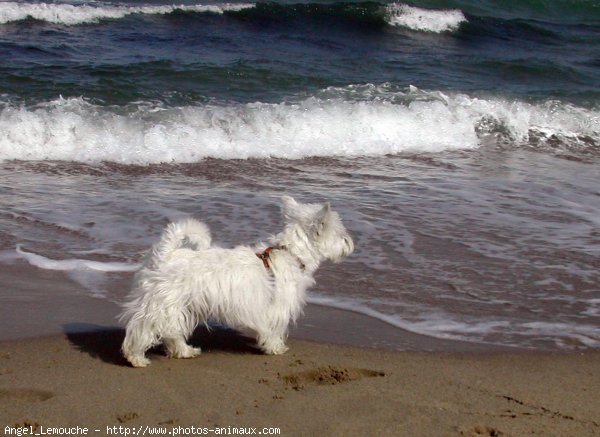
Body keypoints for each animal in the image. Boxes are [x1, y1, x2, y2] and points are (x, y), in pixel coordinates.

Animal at [120, 196, 354, 366]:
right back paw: (137, 358)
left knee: (172, 332)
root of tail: (165, 253)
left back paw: (185, 351)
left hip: (178, 307)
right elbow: (274, 330)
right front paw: (275, 348)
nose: (350, 242)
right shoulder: (278, 308)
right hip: (161, 305)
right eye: (340, 232)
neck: (291, 253)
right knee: (142, 330)